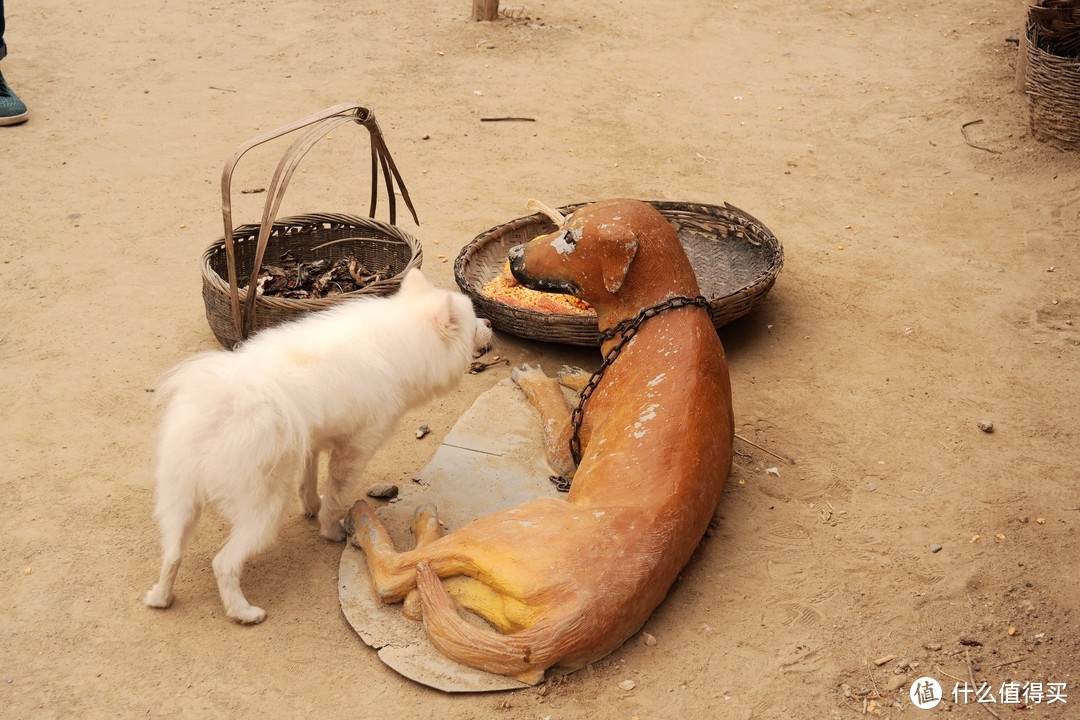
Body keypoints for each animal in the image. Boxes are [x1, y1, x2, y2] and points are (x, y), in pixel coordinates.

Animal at [144, 269, 494, 626]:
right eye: (472, 321)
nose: (490, 322)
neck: (401, 337)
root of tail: (218, 411)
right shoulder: (356, 447)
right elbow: (338, 492)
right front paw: (331, 529)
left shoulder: (312, 442)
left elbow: (309, 479)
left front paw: (312, 506)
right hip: (262, 510)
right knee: (223, 563)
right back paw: (244, 613)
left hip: (180, 502)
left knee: (172, 554)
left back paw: (160, 598)